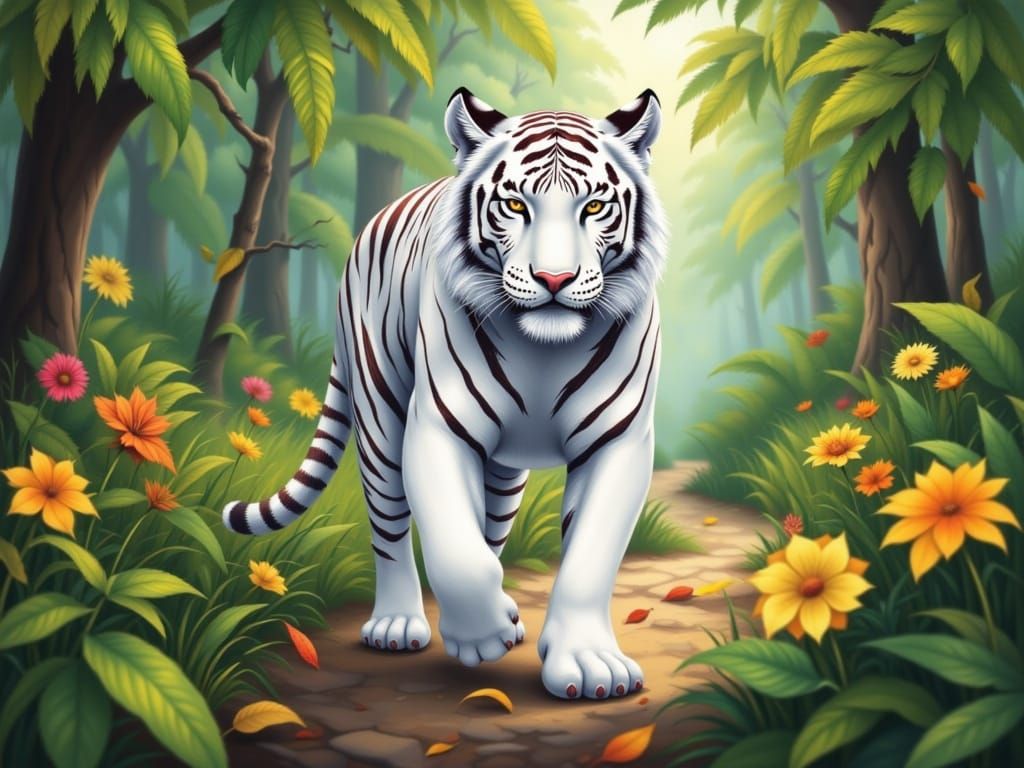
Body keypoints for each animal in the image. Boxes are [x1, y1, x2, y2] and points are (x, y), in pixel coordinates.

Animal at [223, 88, 667, 700]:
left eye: (594, 207)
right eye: (516, 205)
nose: (554, 279)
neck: (543, 350)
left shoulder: (617, 440)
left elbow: (587, 559)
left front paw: (589, 664)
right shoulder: (437, 426)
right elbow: (456, 550)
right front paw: (481, 634)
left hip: (503, 470)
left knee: (491, 526)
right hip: (380, 416)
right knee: (390, 524)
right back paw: (398, 624)